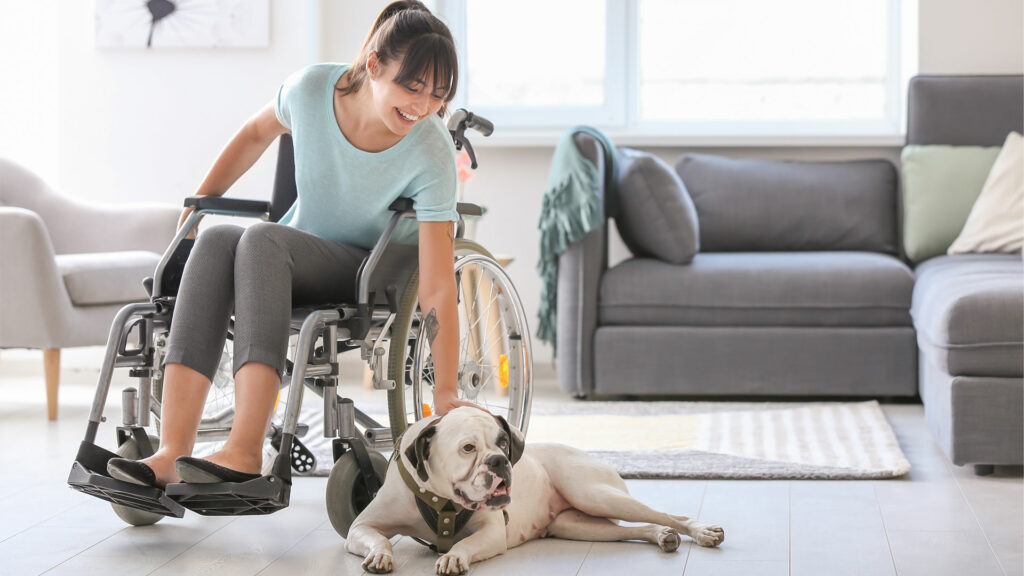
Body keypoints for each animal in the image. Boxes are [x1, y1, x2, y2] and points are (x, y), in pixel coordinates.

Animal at [348, 405, 724, 569]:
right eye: (468, 448)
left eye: (503, 442)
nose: (499, 460)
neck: (443, 500)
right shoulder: (361, 527)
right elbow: (379, 538)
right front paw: (380, 555)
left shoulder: (491, 533)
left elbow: (465, 544)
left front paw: (454, 557)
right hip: (577, 525)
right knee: (636, 528)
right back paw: (662, 536)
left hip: (595, 495)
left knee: (668, 515)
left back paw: (702, 531)